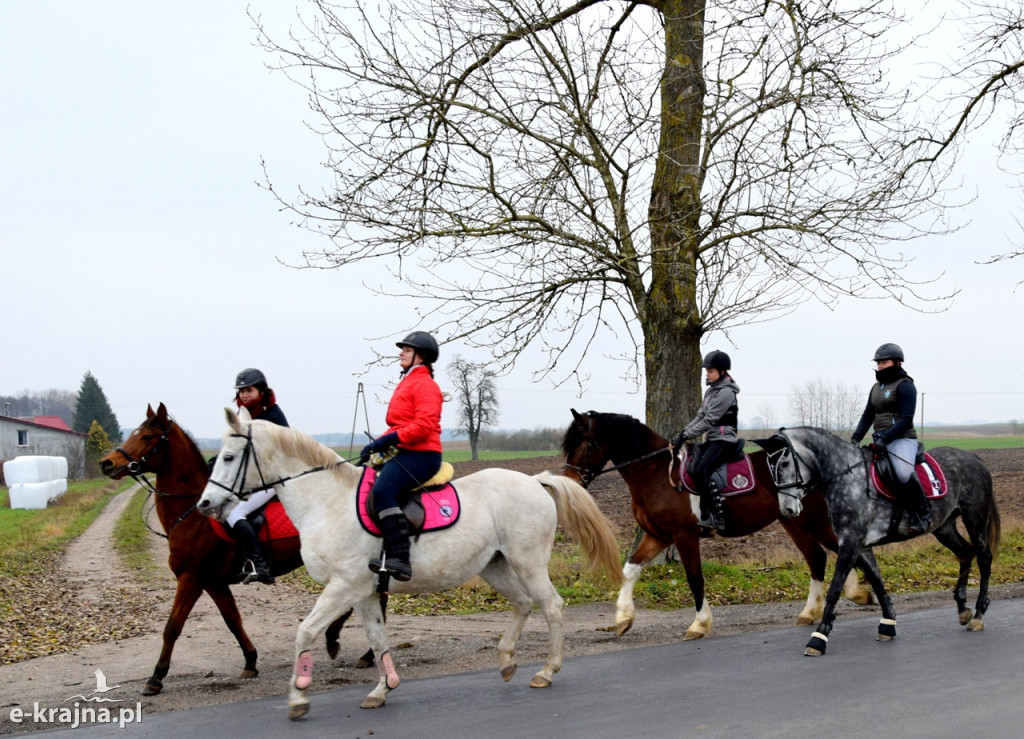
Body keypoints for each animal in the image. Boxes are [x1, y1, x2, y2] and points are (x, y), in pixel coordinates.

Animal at [194, 405, 618, 716]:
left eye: (229, 457)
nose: (205, 504)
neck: (326, 501)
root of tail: (533, 480)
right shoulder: (363, 592)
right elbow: (377, 637)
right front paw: (382, 689)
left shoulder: (343, 586)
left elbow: (305, 632)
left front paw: (298, 696)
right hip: (495, 566)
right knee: (524, 603)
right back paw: (506, 661)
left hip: (528, 561)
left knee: (552, 606)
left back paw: (547, 671)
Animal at [561, 409, 872, 638]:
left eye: (585, 445)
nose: (571, 482)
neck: (657, 474)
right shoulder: (657, 536)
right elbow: (630, 569)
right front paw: (624, 618)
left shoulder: (683, 535)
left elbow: (694, 578)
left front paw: (699, 624)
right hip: (793, 521)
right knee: (818, 557)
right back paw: (813, 611)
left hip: (812, 520)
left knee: (844, 550)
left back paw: (857, 594)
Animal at [753, 425, 999, 655]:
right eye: (769, 468)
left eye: (785, 463)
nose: (787, 509)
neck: (847, 478)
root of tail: (972, 457)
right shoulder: (859, 545)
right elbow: (877, 581)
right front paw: (887, 624)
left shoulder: (851, 544)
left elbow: (835, 589)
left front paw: (819, 638)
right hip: (945, 528)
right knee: (965, 553)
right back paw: (963, 609)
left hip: (975, 519)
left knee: (984, 558)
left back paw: (978, 615)